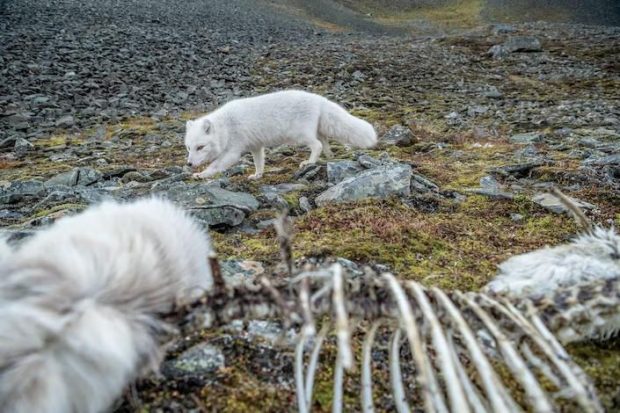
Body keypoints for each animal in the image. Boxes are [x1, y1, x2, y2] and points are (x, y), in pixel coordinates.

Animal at [184, 89, 378, 179]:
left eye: (200, 147)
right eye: (188, 148)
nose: (189, 164)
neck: (226, 127)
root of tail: (318, 98)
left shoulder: (233, 151)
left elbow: (216, 165)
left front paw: (201, 175)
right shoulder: (256, 146)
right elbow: (259, 162)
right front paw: (258, 175)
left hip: (300, 134)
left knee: (317, 144)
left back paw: (309, 162)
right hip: (315, 130)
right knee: (324, 140)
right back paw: (330, 156)